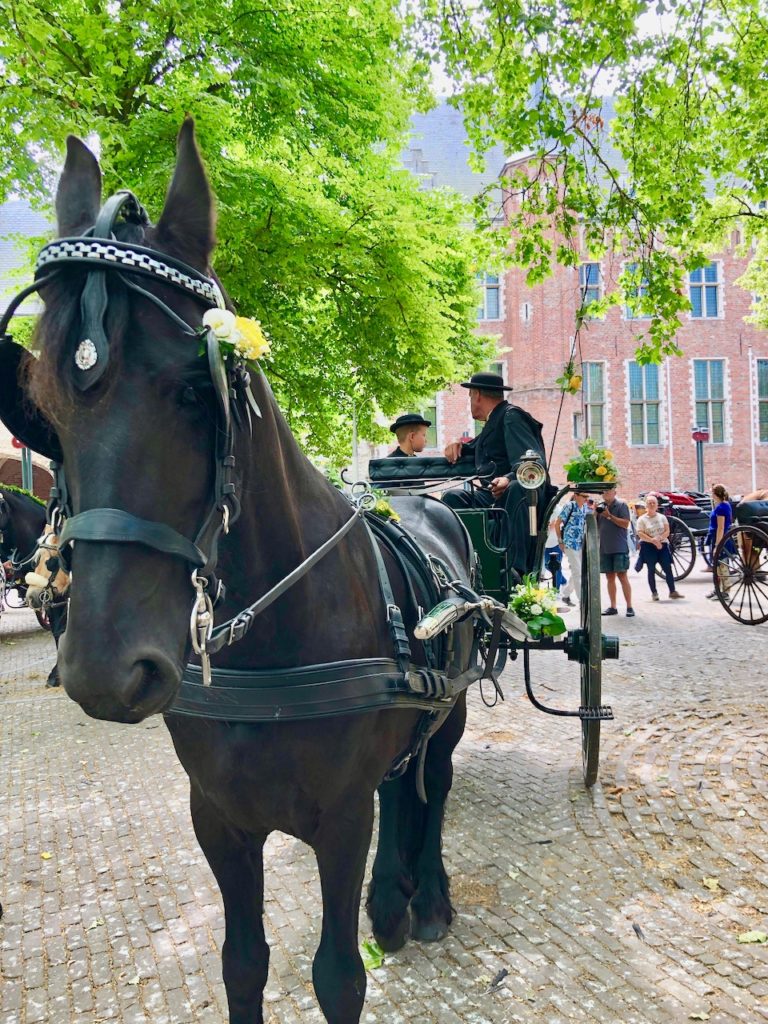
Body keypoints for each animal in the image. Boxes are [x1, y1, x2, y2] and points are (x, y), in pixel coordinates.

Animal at [9, 123, 481, 1019]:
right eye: (45, 408)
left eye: (199, 388)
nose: (102, 672)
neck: (271, 654)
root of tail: (428, 505)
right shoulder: (220, 820)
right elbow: (242, 963)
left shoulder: (340, 821)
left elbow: (338, 976)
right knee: (403, 783)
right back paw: (393, 901)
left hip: (454, 707)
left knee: (432, 785)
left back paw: (430, 897)